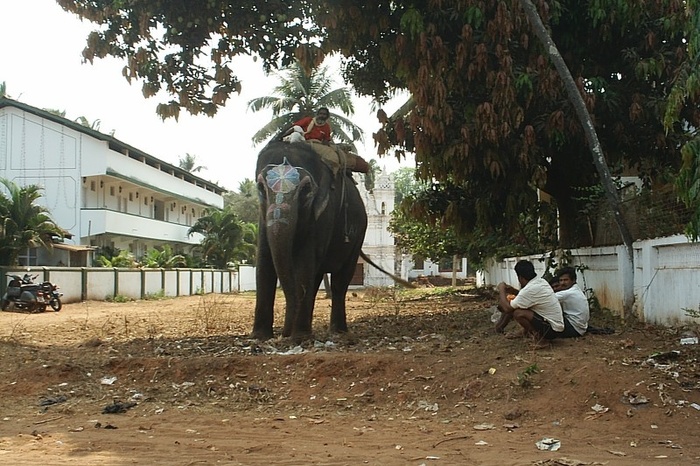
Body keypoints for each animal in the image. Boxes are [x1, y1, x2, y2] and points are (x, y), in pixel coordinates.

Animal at [250, 139, 366, 342]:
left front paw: (299, 337)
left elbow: (304, 262)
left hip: (358, 236)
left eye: (306, 190)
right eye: (261, 188)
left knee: (340, 281)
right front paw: (259, 337)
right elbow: (263, 262)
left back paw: (338, 331)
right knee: (317, 277)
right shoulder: (262, 219)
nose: (285, 333)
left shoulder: (324, 212)